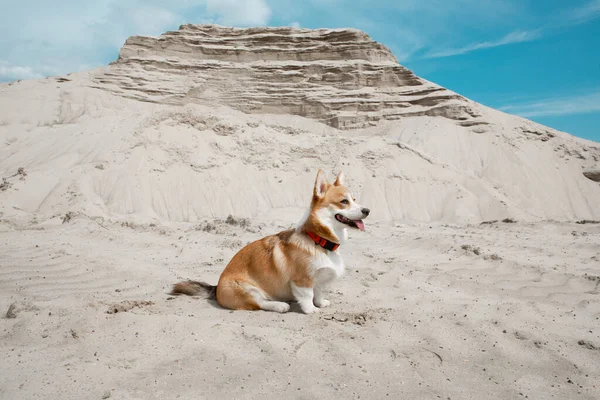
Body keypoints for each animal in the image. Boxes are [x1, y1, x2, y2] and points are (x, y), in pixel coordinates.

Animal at [171, 169, 370, 312]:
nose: (367, 210)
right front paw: (312, 310)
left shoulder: (318, 279)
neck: (317, 240)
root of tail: (216, 287)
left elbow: (318, 291)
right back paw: (280, 305)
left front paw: (320, 303)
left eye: (354, 199)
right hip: (247, 289)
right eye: (344, 201)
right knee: (259, 303)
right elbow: (307, 296)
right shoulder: (302, 280)